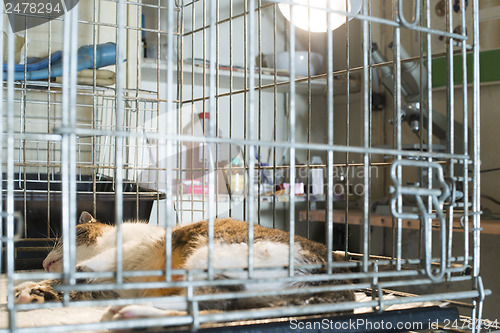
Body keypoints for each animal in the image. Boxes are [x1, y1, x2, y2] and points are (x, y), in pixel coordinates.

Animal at [13, 213, 354, 320]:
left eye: (66, 237)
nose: (43, 262)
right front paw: (33, 290)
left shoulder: (135, 247)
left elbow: (80, 272)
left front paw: (37, 286)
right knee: (213, 307)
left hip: (209, 256)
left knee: (207, 306)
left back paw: (132, 311)